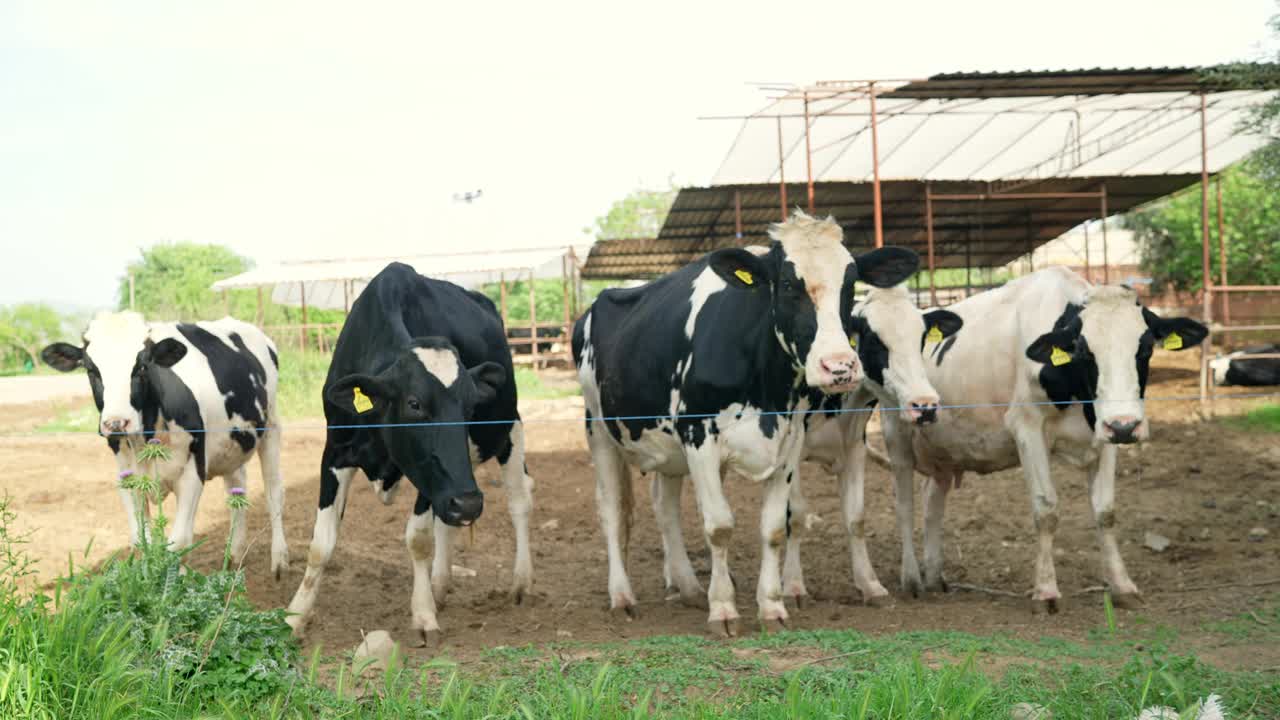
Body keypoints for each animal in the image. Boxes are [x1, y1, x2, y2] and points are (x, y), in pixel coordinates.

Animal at [42, 311, 290, 573]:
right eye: (91, 370)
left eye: (142, 367)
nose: (116, 423)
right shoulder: (127, 477)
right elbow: (142, 542)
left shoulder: (194, 469)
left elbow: (179, 543)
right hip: (231, 443)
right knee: (237, 489)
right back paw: (234, 555)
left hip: (272, 426)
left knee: (273, 490)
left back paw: (279, 559)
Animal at [286, 260, 535, 640]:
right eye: (414, 403)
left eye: (470, 405)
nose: (470, 503)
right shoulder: (335, 452)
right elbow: (321, 544)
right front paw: (296, 616)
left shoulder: (428, 473)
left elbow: (418, 539)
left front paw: (423, 615)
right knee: (449, 520)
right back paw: (440, 586)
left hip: (508, 432)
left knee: (519, 499)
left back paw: (520, 581)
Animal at [573, 208, 921, 632]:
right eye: (787, 284)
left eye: (850, 283)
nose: (839, 366)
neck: (766, 387)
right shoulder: (698, 435)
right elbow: (719, 526)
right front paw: (723, 609)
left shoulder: (790, 442)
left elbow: (774, 528)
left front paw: (771, 607)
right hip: (598, 430)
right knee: (611, 510)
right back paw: (622, 596)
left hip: (666, 450)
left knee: (666, 507)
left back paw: (689, 587)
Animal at [865, 266, 1203, 607]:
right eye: (1084, 351)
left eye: (1145, 349)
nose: (1124, 426)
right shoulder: (1027, 427)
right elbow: (1046, 510)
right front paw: (1046, 590)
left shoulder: (1105, 432)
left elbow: (1106, 512)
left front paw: (1122, 585)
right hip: (897, 433)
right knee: (905, 504)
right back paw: (911, 579)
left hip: (945, 450)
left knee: (933, 502)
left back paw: (934, 575)